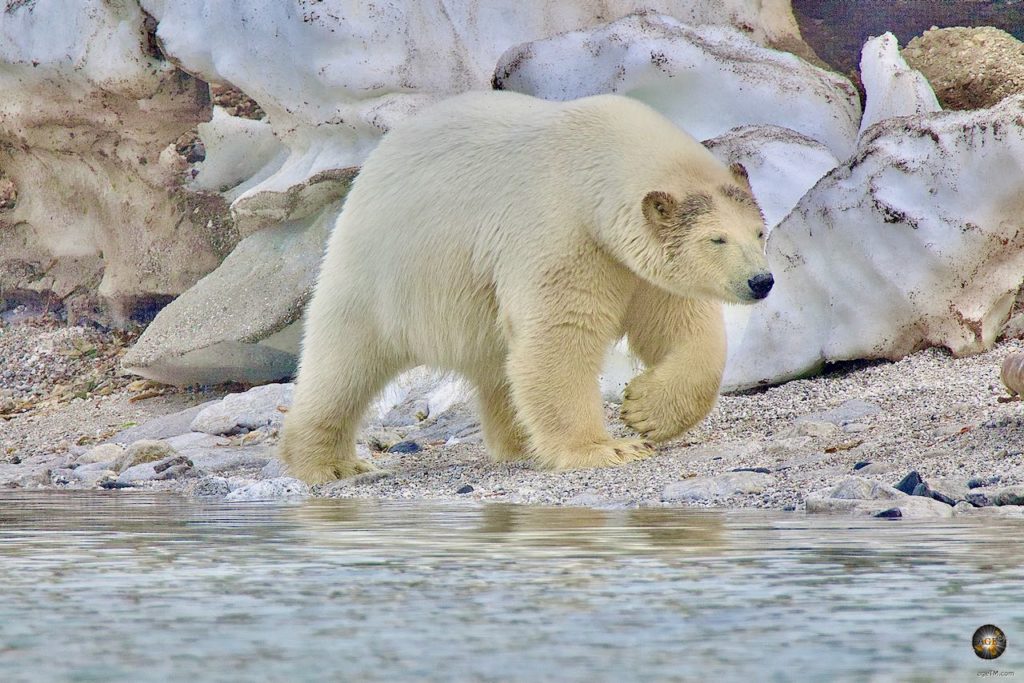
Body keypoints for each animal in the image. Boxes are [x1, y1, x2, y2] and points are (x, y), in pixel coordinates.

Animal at [276, 92, 770, 485]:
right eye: (717, 239)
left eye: (759, 232)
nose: (761, 282)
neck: (590, 162)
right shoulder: (560, 231)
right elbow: (559, 337)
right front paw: (609, 447)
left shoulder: (633, 265)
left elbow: (680, 326)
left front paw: (644, 411)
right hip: (379, 269)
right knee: (344, 362)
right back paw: (332, 463)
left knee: (500, 368)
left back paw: (520, 442)